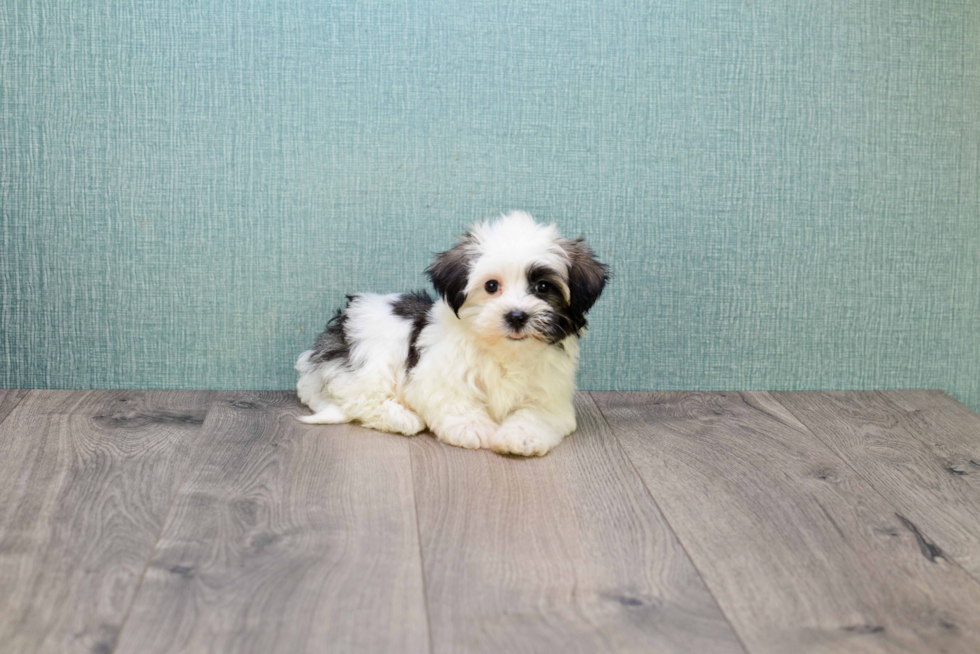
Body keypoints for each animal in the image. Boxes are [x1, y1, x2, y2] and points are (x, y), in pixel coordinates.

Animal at [294, 211, 608, 456]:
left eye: (543, 287)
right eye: (491, 286)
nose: (517, 316)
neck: (504, 351)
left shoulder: (549, 393)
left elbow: (536, 414)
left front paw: (522, 436)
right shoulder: (437, 377)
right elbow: (455, 400)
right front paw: (473, 427)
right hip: (370, 356)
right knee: (362, 398)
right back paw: (402, 418)